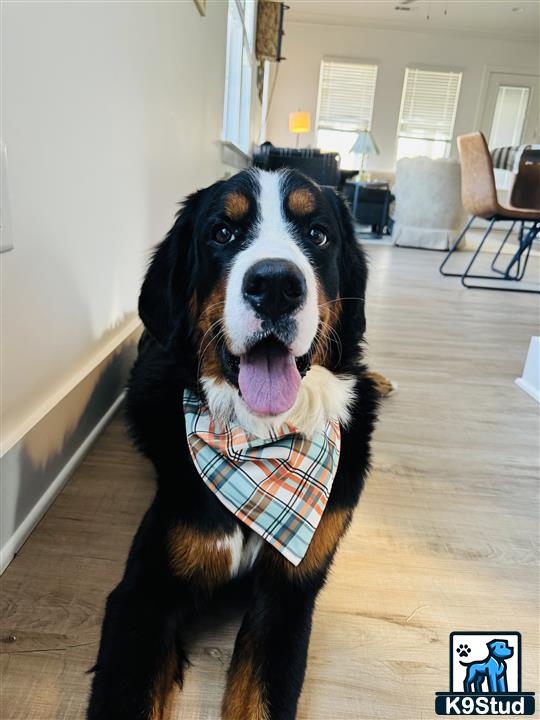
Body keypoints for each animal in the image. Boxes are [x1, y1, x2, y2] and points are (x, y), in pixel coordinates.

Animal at [86, 170, 378, 720]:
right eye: (222, 232)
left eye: (317, 234)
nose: (276, 285)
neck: (262, 446)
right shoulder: (143, 596)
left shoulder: (289, 594)